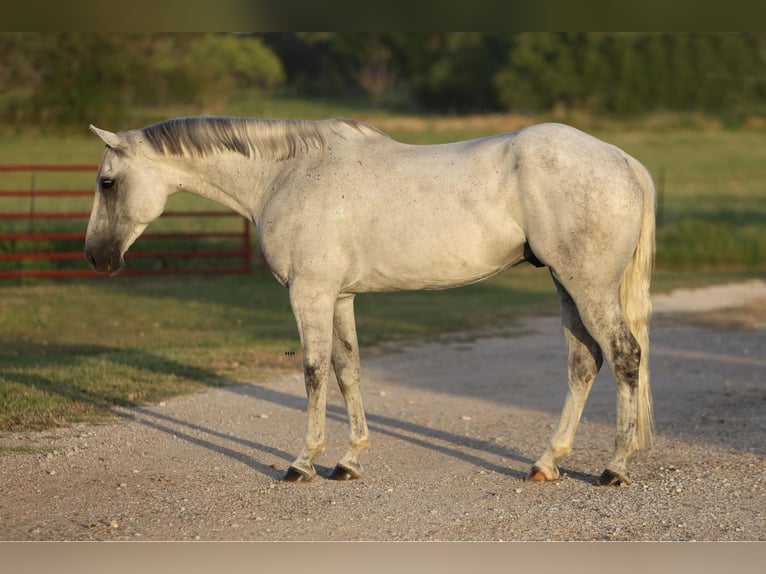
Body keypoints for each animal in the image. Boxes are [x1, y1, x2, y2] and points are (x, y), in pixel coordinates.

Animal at [87, 119, 656, 488]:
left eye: (106, 182)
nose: (96, 256)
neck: (288, 175)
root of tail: (622, 159)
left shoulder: (310, 293)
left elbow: (314, 371)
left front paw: (303, 463)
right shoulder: (339, 296)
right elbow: (348, 370)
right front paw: (349, 461)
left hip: (587, 286)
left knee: (624, 356)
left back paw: (614, 468)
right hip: (567, 285)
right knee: (585, 362)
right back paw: (547, 462)